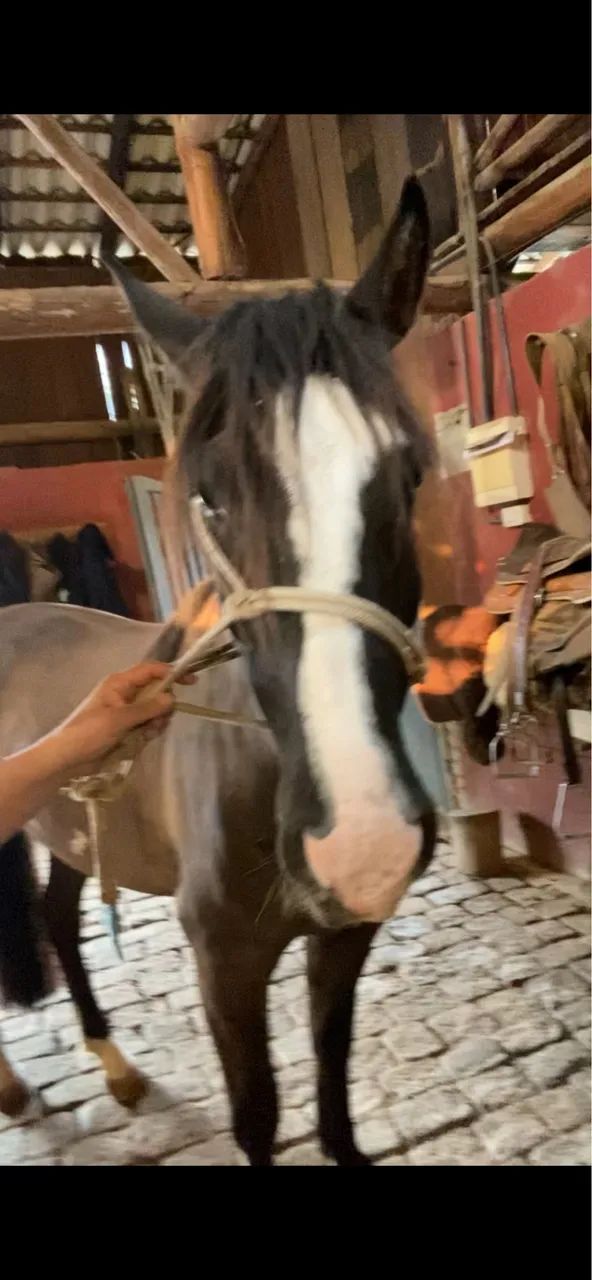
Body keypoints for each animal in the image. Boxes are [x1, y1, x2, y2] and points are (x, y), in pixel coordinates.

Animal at [0, 177, 437, 1165]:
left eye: (409, 477)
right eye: (208, 495)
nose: (362, 840)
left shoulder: (343, 936)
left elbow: (332, 1075)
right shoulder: (225, 968)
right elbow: (259, 1114)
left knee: (57, 916)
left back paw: (115, 1067)